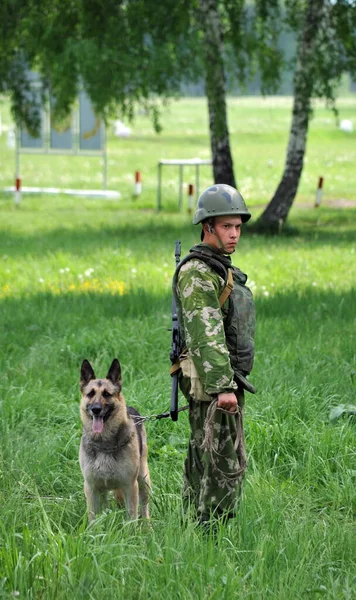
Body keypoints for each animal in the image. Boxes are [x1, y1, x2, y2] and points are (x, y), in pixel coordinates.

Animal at [79, 358, 150, 524]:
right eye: (90, 394)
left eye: (107, 394)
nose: (96, 409)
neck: (104, 444)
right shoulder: (91, 488)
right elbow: (93, 519)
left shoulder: (130, 486)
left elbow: (131, 518)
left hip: (143, 480)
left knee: (144, 508)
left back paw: (148, 526)